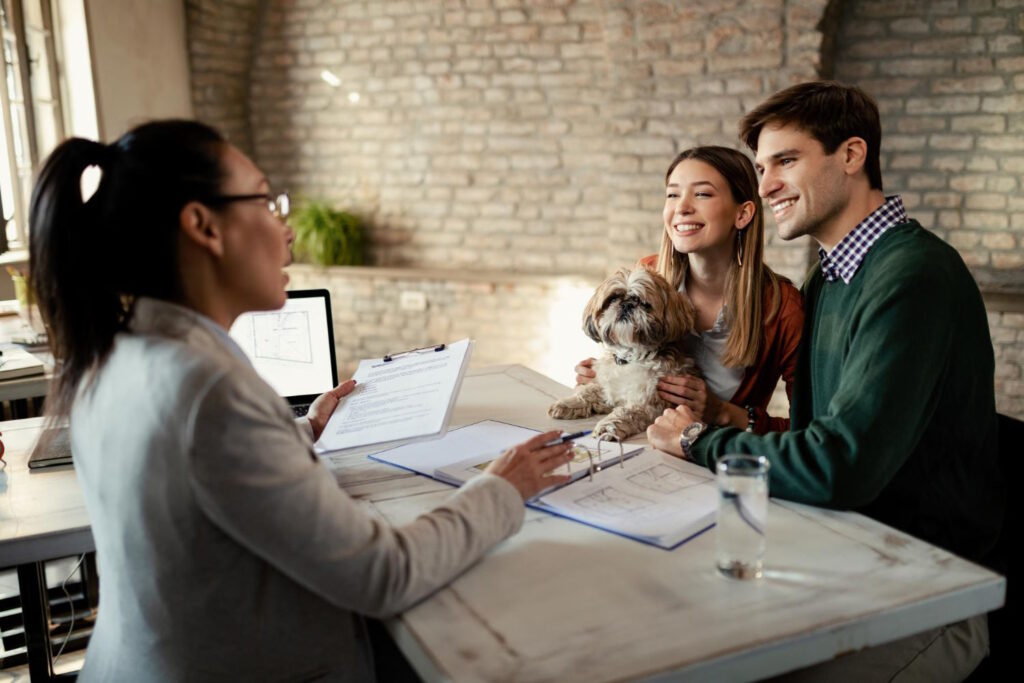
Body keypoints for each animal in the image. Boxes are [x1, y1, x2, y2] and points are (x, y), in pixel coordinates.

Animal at [548, 266, 700, 444]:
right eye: (613, 298)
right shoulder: (609, 387)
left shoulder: (648, 403)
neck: (629, 358)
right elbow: (590, 390)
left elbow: (626, 413)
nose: (627, 304)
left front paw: (607, 427)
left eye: (644, 303)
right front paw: (569, 403)